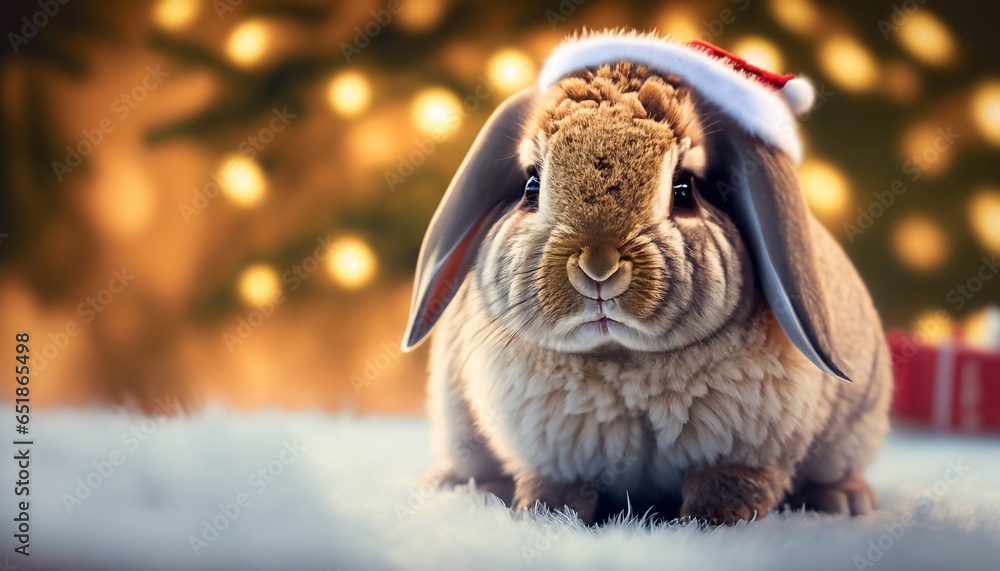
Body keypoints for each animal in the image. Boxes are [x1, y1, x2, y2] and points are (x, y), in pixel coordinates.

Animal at [401, 31, 892, 525]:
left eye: (686, 189)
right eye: (531, 186)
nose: (598, 267)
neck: (623, 359)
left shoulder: (746, 456)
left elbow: (728, 488)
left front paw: (713, 522)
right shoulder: (553, 456)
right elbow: (559, 490)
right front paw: (543, 514)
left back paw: (844, 501)